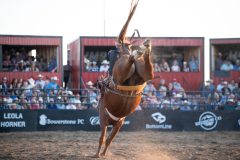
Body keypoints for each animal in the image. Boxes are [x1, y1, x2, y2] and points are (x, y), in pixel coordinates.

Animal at [95, 0, 154, 158]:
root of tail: (124, 52)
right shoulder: (117, 123)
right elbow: (108, 139)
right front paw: (102, 153)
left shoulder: (106, 119)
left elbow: (104, 138)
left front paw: (98, 154)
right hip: (143, 75)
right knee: (147, 70)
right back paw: (144, 47)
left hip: (122, 73)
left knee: (131, 58)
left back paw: (139, 49)